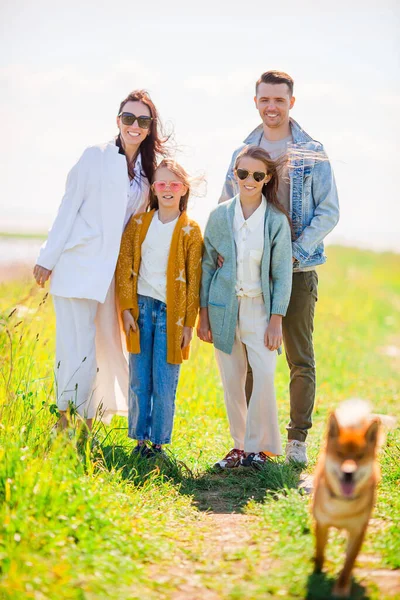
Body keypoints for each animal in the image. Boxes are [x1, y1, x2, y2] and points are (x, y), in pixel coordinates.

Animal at [312, 400, 382, 596]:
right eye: (340, 453)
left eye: (360, 456)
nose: (348, 472)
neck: (342, 505)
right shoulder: (321, 524)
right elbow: (320, 549)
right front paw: (317, 571)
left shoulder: (358, 531)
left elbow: (349, 563)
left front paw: (341, 587)